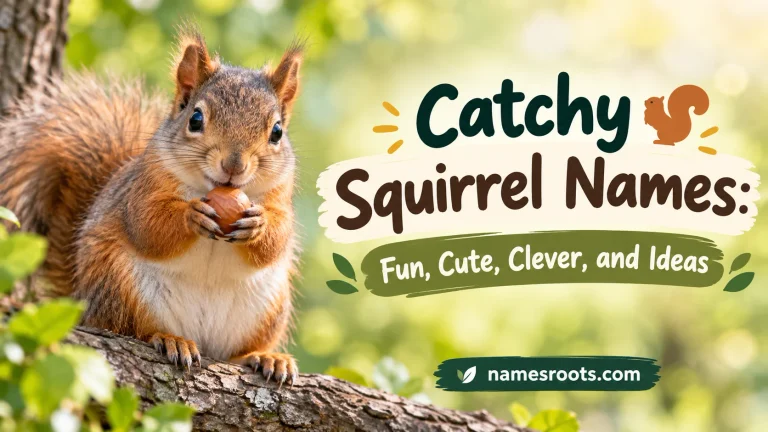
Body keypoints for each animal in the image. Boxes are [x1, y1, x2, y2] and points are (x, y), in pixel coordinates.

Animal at [0, 28, 302, 385]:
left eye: (277, 131)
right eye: (195, 119)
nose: (233, 165)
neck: (211, 188)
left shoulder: (280, 195)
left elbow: (279, 237)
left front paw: (259, 224)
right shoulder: (141, 190)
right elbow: (147, 226)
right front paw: (190, 215)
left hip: (267, 308)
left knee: (240, 351)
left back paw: (266, 357)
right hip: (121, 287)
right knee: (133, 329)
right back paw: (171, 339)